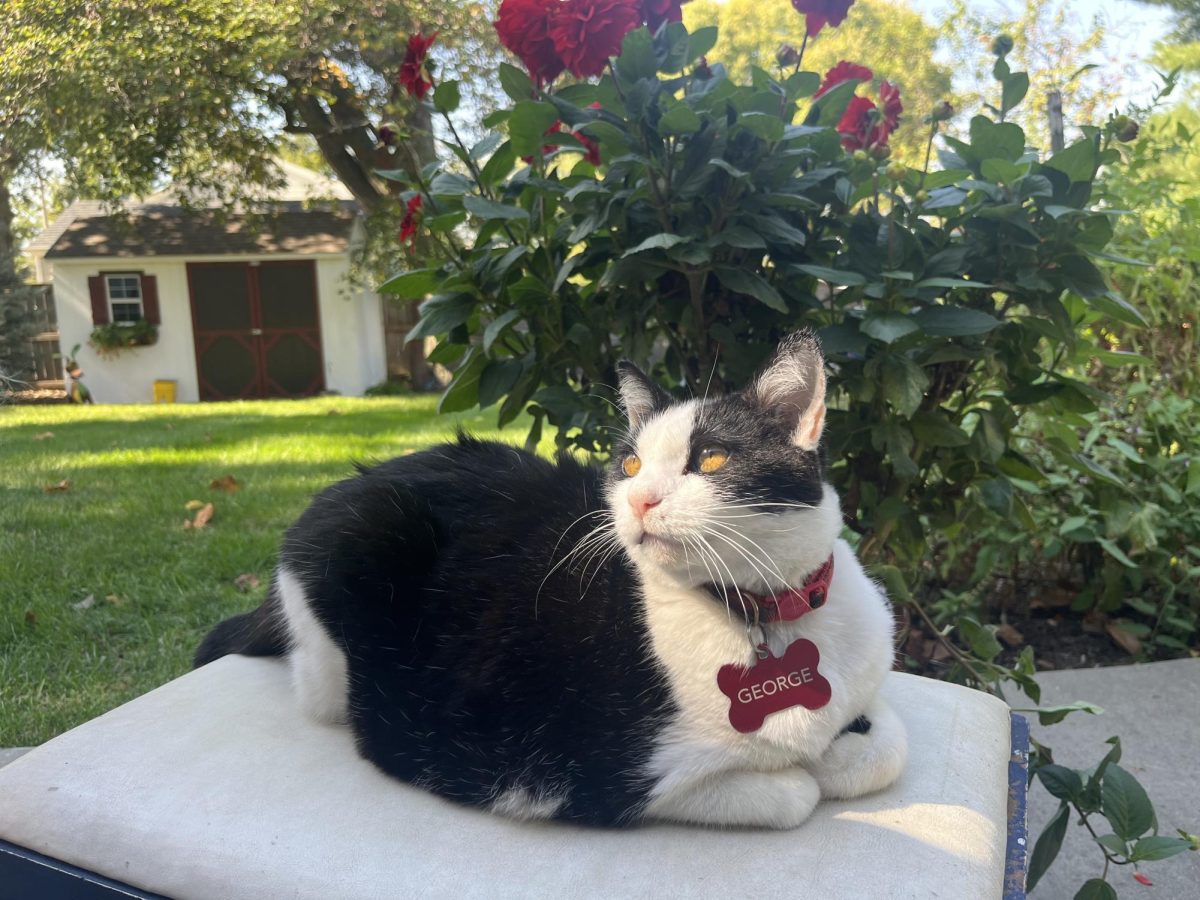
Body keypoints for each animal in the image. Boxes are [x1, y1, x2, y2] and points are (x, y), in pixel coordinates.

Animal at [196, 333, 902, 830]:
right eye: (631, 464)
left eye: (712, 459)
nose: (638, 500)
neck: (765, 611)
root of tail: (344, 487)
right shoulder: (575, 772)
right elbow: (792, 792)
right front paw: (805, 768)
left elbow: (885, 747)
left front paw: (843, 746)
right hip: (357, 571)